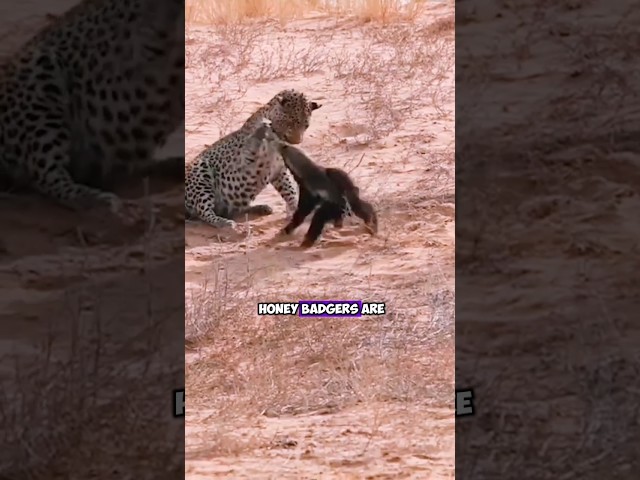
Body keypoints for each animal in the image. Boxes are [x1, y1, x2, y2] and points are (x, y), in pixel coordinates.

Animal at [185, 89, 322, 229]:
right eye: (290, 122)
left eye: (306, 126)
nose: (296, 141)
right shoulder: (246, 161)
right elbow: (255, 142)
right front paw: (262, 127)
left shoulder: (279, 169)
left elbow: (289, 190)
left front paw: (295, 208)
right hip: (199, 172)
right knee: (204, 212)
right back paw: (225, 223)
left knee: (234, 208)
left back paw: (261, 208)